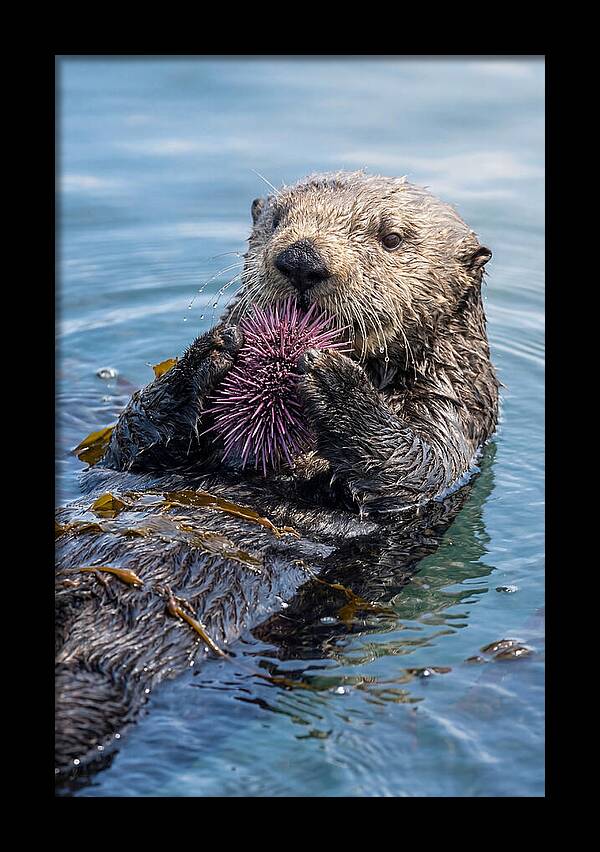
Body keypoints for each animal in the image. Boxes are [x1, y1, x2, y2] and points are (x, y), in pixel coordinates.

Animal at [55, 171, 498, 780]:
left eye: (390, 238)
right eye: (277, 220)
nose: (300, 259)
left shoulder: (455, 418)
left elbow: (415, 468)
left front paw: (333, 379)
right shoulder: (133, 453)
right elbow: (130, 440)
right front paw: (211, 351)